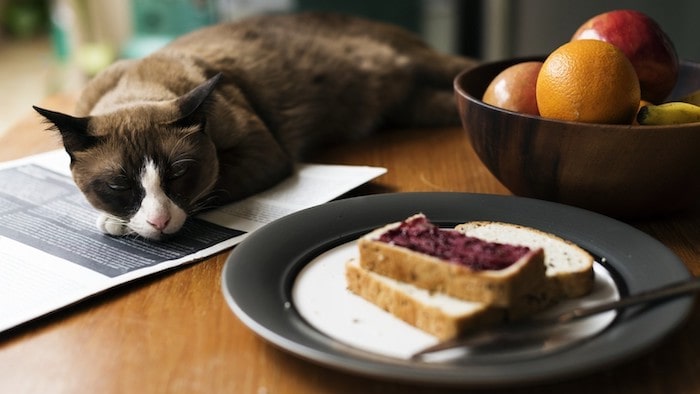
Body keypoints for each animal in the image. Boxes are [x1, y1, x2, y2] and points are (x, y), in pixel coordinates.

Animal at [35, 11, 478, 240]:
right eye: (119, 185)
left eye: (179, 175)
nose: (159, 222)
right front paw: (119, 220)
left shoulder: (263, 153)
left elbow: (214, 188)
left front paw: (118, 223)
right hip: (418, 107)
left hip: (428, 66)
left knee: (466, 71)